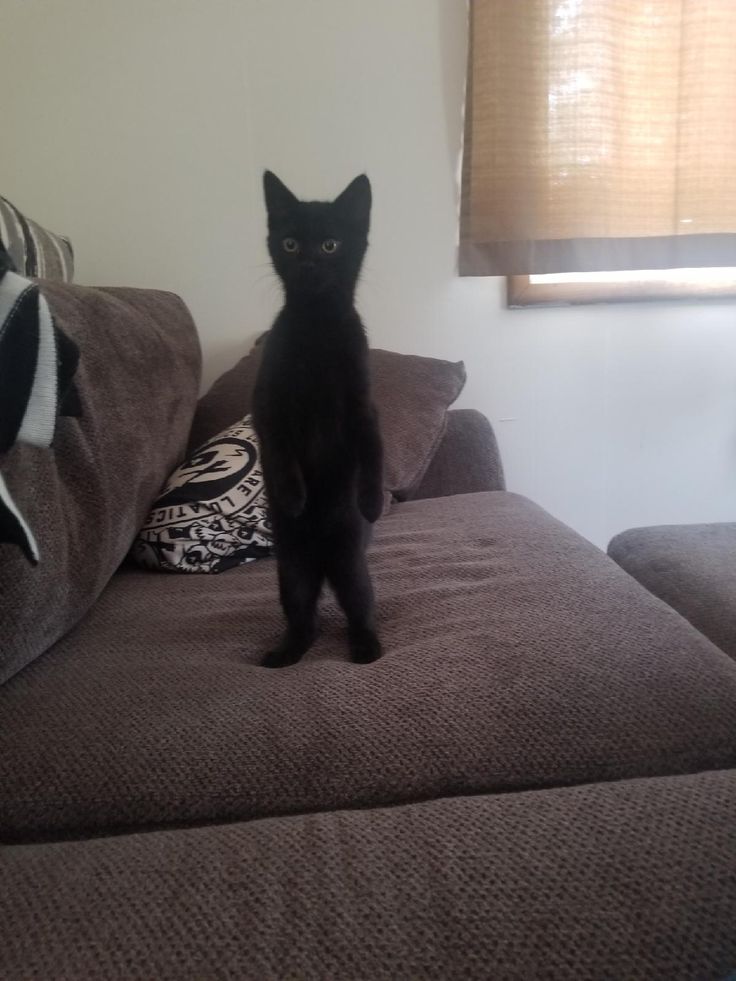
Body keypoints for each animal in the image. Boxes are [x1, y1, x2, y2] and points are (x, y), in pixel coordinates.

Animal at [253, 172, 386, 668]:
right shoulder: (267, 403)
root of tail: (323, 562)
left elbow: (374, 450)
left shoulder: (363, 404)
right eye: (290, 243)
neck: (315, 329)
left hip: (350, 562)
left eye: (330, 245)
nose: (308, 263)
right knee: (303, 617)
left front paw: (372, 501)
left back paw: (366, 647)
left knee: (359, 607)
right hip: (290, 566)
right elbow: (280, 451)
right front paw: (293, 497)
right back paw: (285, 652)